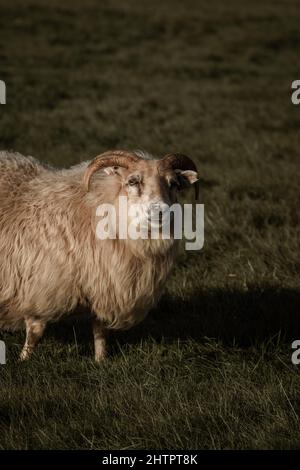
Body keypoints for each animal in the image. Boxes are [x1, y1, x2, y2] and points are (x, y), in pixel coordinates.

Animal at [0, 149, 199, 362]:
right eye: (132, 181)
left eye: (174, 183)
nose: (160, 211)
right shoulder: (39, 286)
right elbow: (35, 331)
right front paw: (23, 359)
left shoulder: (103, 286)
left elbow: (100, 330)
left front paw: (100, 360)